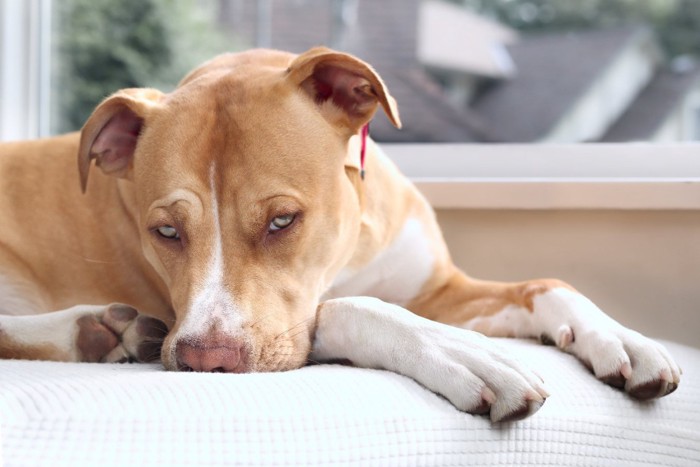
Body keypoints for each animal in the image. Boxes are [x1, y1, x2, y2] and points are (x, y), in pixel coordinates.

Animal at [0, 48, 680, 424]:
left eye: (282, 220)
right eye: (165, 231)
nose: (204, 362)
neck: (348, 251)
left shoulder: (442, 289)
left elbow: (545, 283)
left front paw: (617, 335)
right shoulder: (299, 325)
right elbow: (356, 308)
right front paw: (460, 352)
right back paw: (94, 331)